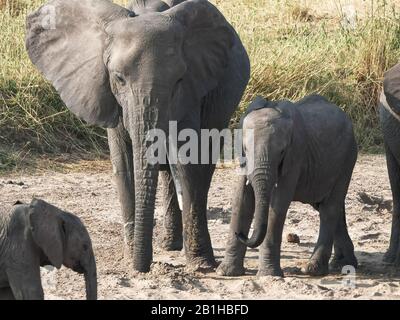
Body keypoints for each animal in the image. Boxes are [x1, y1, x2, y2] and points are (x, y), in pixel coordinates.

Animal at [25, 0, 248, 272]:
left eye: (179, 80)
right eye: (119, 78)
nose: (145, 266)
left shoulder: (192, 90)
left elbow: (186, 160)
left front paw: (200, 265)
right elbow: (123, 163)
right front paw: (131, 257)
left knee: (202, 167)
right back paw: (169, 245)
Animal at [217, 95, 358, 278]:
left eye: (282, 152)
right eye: (245, 149)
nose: (240, 234)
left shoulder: (295, 156)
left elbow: (278, 204)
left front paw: (268, 275)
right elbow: (242, 200)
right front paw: (226, 272)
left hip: (347, 159)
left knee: (330, 208)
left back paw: (313, 269)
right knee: (329, 206)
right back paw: (342, 263)